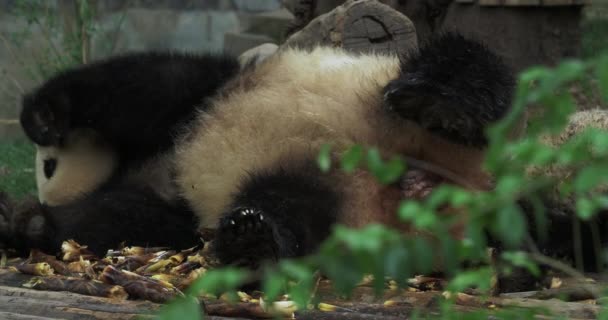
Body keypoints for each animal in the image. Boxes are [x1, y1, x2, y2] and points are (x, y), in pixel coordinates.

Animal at [7, 32, 516, 268]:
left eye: (48, 167)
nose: (50, 189)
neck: (142, 164)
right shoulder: (172, 205)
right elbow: (119, 220)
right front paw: (31, 221)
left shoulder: (202, 96)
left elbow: (140, 83)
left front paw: (44, 117)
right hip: (337, 203)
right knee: (293, 208)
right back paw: (254, 238)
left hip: (393, 95)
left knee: (473, 66)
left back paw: (439, 104)